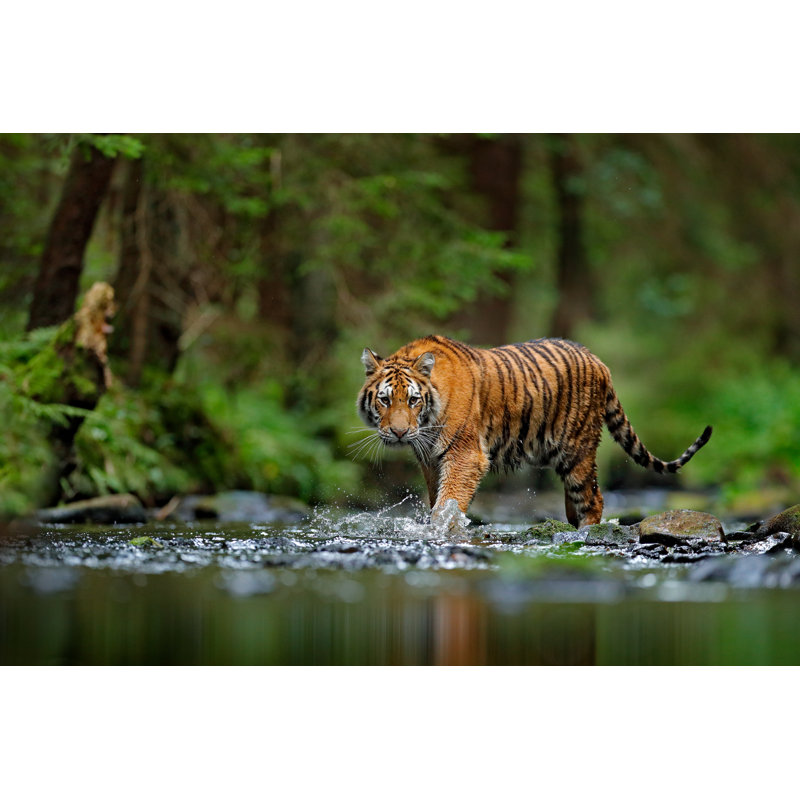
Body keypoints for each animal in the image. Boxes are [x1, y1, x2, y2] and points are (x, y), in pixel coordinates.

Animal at [356, 335, 712, 528]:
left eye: (413, 400)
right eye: (385, 400)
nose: (399, 433)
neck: (427, 422)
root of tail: (599, 361)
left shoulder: (465, 455)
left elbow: (449, 501)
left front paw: (442, 530)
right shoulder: (430, 459)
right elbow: (437, 499)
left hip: (577, 450)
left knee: (593, 498)